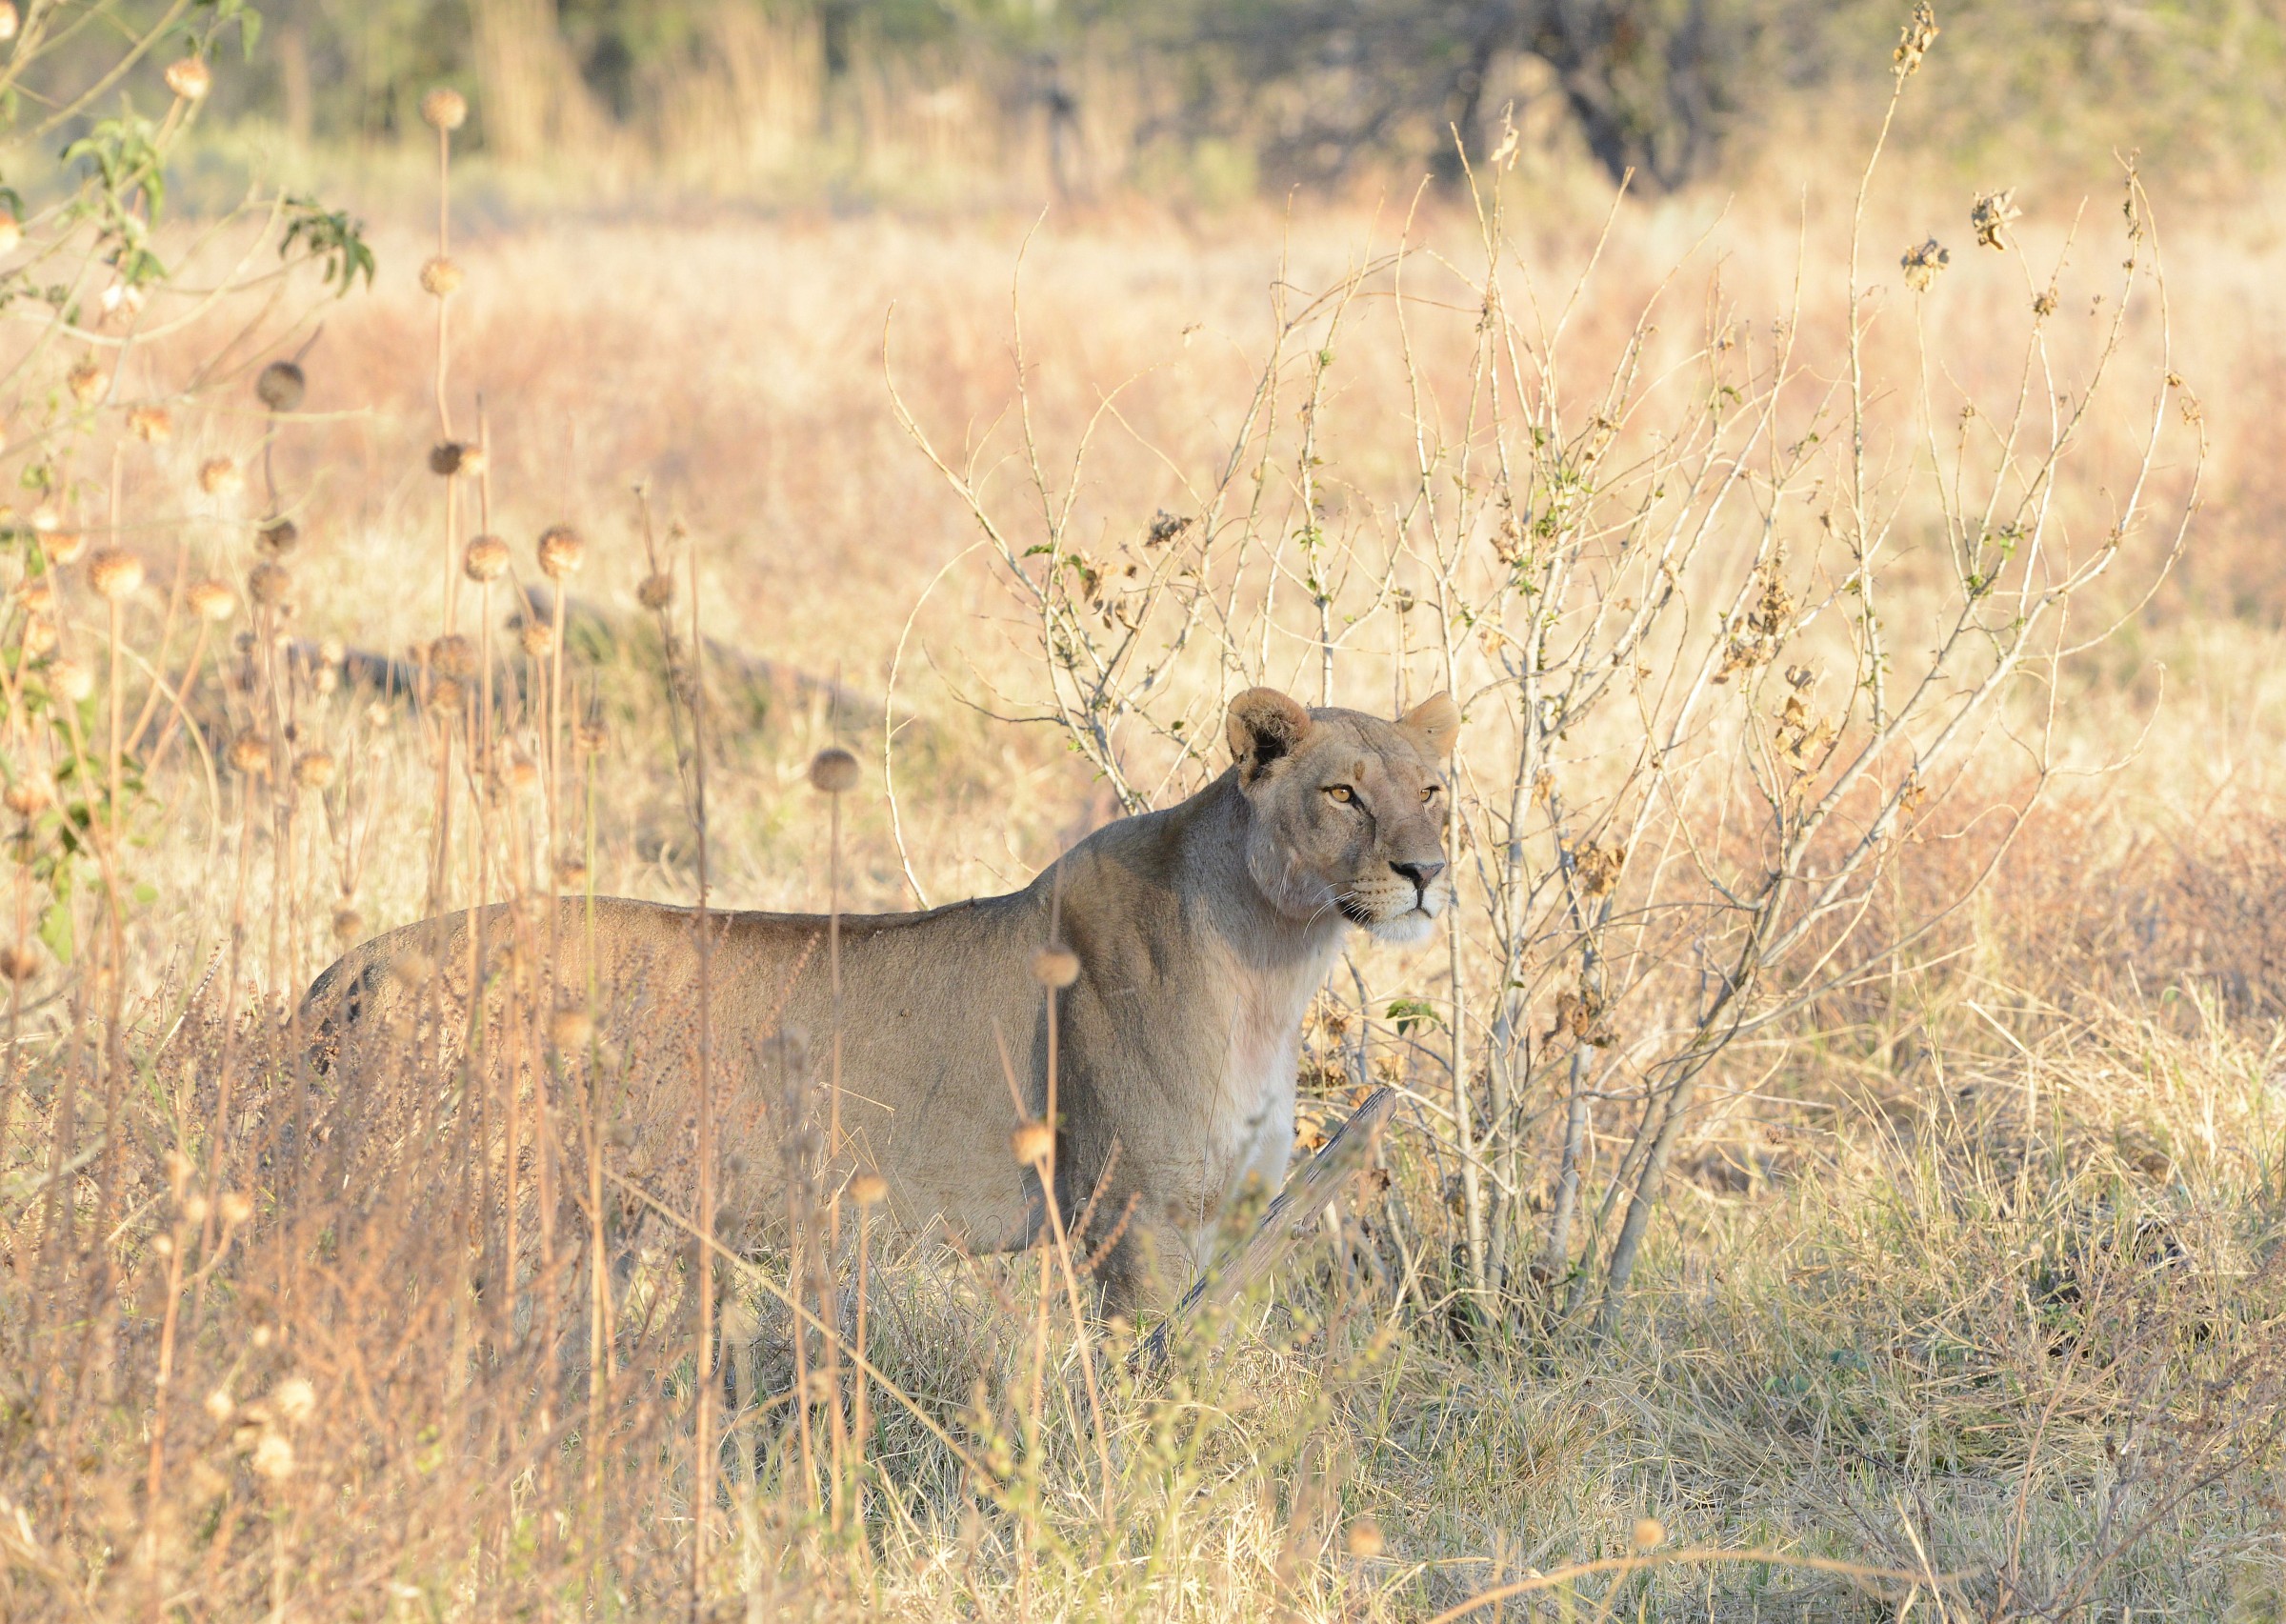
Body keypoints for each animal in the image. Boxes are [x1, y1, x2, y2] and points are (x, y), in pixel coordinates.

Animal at [302, 686, 1457, 1312]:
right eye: (1342, 794)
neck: (1277, 959)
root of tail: (352, 968)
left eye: (1433, 790)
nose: (1427, 871)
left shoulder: (1223, 1216)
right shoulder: (1135, 1217)